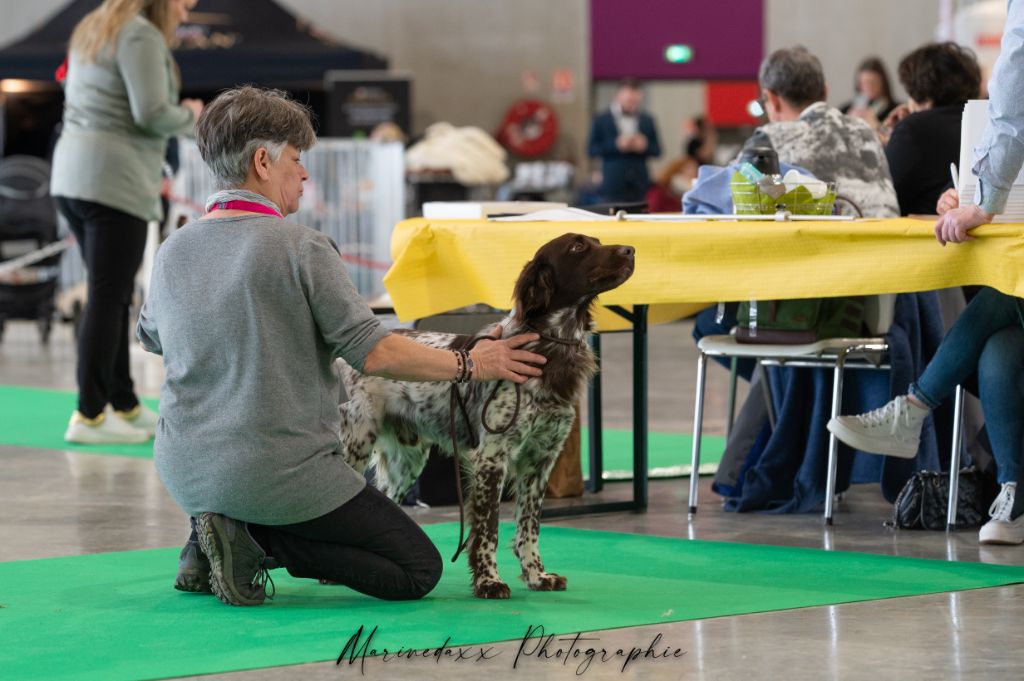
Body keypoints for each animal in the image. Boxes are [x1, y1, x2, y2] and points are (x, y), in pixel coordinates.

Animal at [339, 233, 634, 593]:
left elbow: (528, 526)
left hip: (407, 460)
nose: (631, 250)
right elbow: (488, 528)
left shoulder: (541, 459)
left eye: (597, 240)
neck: (549, 348)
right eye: (578, 247)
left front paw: (537, 575)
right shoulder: (493, 457)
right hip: (356, 442)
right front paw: (489, 581)